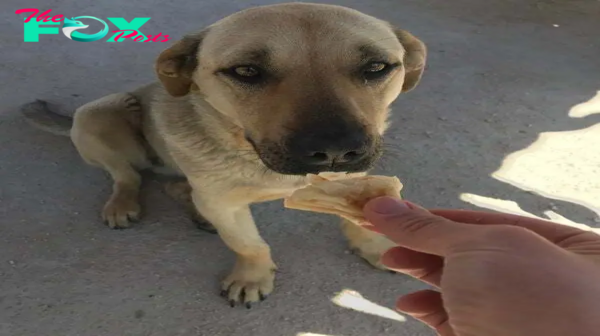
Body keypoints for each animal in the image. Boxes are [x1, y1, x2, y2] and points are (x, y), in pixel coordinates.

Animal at [21, 1, 426, 308]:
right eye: (245, 70)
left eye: (376, 67)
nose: (335, 151)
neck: (254, 159)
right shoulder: (224, 204)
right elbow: (249, 244)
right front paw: (252, 277)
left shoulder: (357, 182)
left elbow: (358, 218)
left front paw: (373, 246)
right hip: (97, 113)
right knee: (128, 175)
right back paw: (124, 203)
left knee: (173, 186)